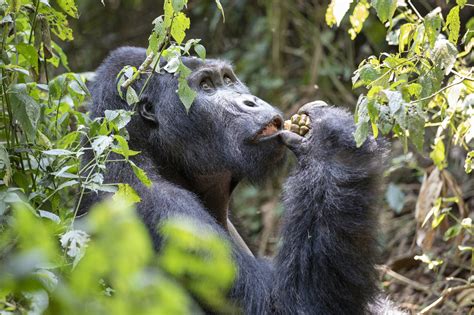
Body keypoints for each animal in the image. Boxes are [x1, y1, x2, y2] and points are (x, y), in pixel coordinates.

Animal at [81, 47, 396, 315]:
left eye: (227, 80)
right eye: (206, 86)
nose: (251, 101)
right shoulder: (162, 210)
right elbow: (282, 305)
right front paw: (331, 142)